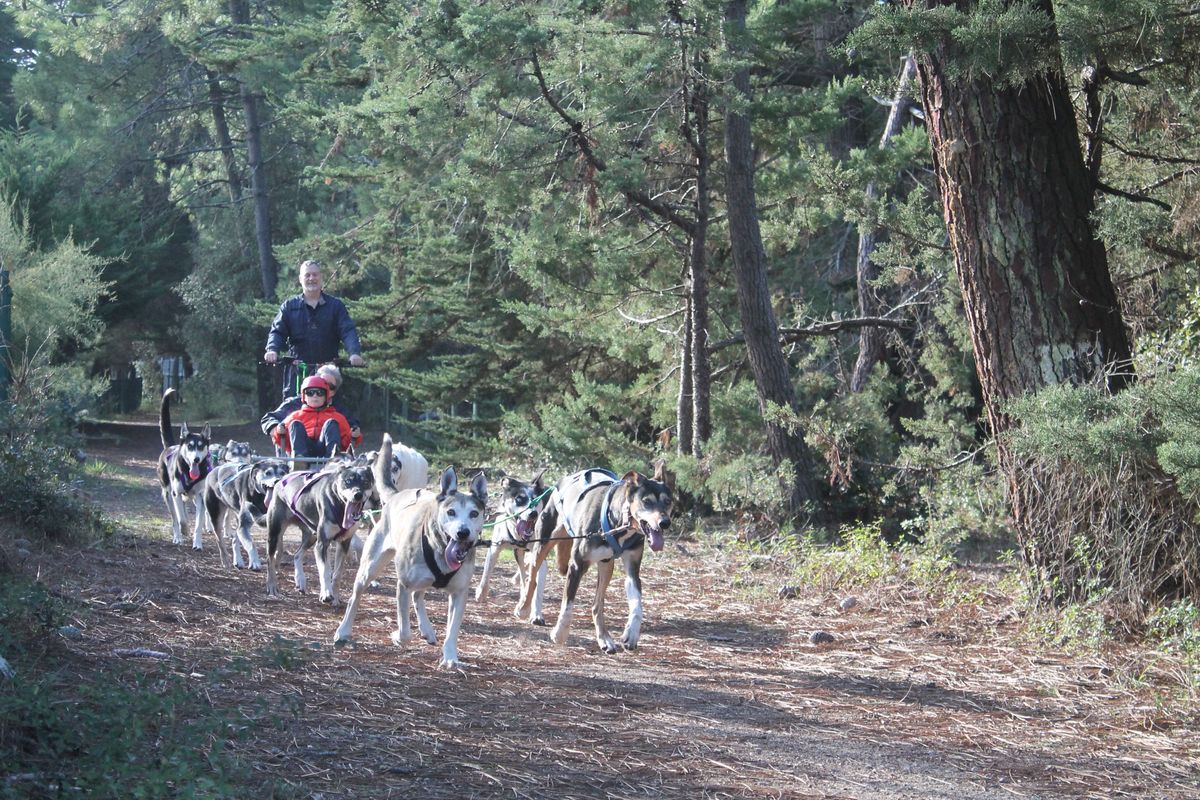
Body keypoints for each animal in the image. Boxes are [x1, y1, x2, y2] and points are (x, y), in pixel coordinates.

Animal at [156, 391, 214, 554]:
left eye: (201, 446)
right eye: (190, 446)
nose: (196, 459)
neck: (189, 473)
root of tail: (170, 447)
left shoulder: (200, 496)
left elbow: (199, 523)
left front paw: (198, 543)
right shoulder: (176, 493)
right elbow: (181, 519)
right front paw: (185, 530)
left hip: (194, 498)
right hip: (168, 495)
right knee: (175, 518)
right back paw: (178, 536)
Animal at [477, 472, 552, 623]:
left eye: (535, 500)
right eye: (520, 499)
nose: (533, 513)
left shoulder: (539, 556)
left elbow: (536, 588)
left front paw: (535, 614)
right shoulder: (495, 547)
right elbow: (486, 573)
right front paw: (481, 593)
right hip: (518, 552)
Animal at [513, 465, 672, 652]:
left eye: (667, 501)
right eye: (646, 501)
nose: (665, 522)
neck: (618, 522)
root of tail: (563, 479)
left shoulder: (632, 569)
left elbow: (637, 607)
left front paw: (631, 634)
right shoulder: (577, 565)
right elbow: (567, 605)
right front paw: (560, 633)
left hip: (606, 565)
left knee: (598, 605)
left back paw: (604, 638)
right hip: (543, 544)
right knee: (532, 577)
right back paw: (524, 608)